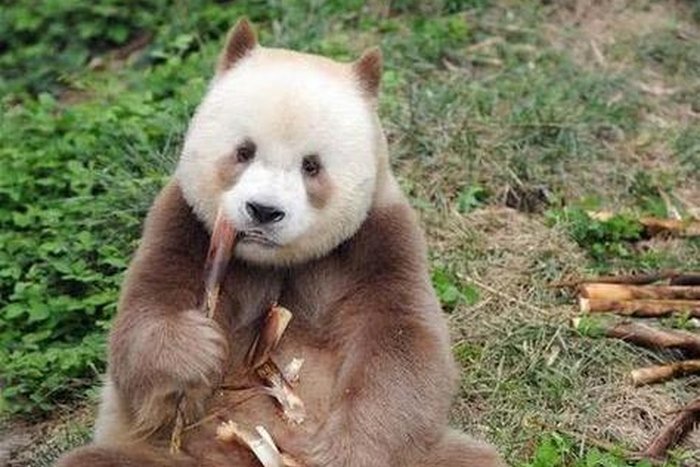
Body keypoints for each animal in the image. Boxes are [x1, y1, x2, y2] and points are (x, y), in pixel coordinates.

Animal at [57, 19, 504, 467]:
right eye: (244, 151)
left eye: (311, 166)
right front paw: (194, 353)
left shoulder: (380, 240)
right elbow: (142, 317)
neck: (274, 261)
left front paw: (345, 452)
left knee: (470, 457)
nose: (263, 211)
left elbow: (401, 346)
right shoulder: (184, 225)